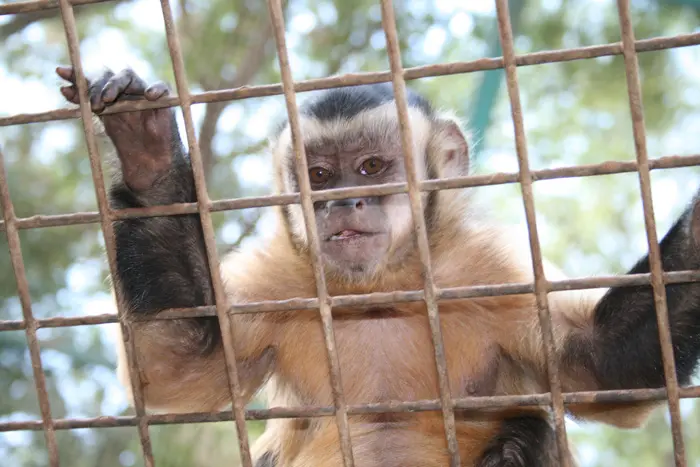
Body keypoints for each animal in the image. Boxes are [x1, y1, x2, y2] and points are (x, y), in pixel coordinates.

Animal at [57, 66, 700, 467]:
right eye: (320, 176)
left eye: (370, 167)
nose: (344, 202)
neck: (383, 288)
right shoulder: (282, 274)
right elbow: (177, 367)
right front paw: (150, 160)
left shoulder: (489, 270)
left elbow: (607, 366)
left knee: (532, 430)